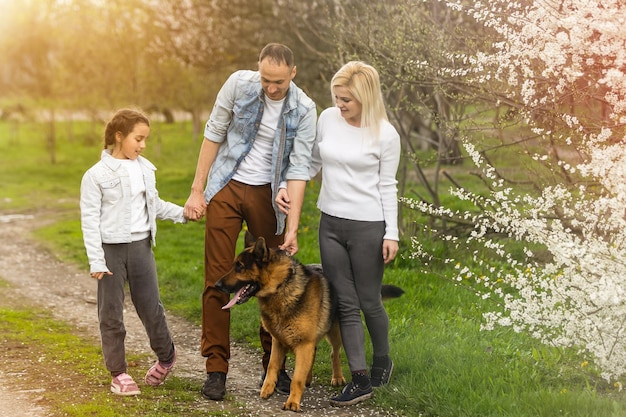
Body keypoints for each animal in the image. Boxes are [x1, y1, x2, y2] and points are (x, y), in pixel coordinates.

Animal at [213, 232, 400, 412]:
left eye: (240, 267)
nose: (217, 285)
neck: (281, 286)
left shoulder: (303, 344)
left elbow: (296, 378)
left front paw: (293, 402)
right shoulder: (278, 342)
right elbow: (273, 366)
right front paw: (268, 389)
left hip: (335, 332)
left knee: (335, 353)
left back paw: (337, 377)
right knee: (314, 354)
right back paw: (309, 377)